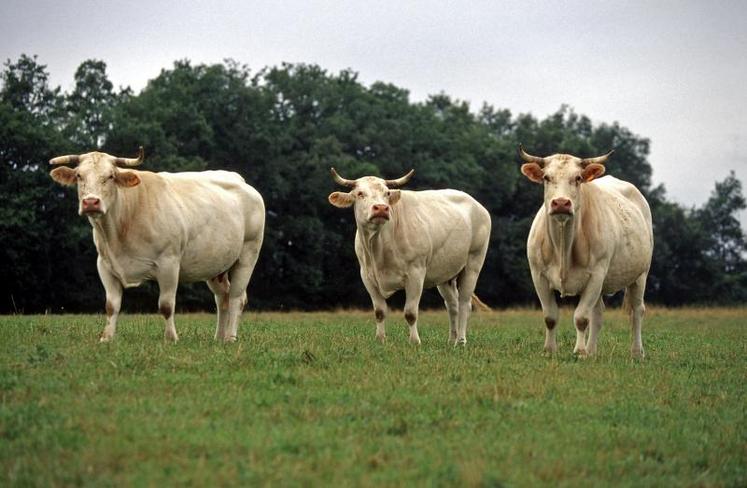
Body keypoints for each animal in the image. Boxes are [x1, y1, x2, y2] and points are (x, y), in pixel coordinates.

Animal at [49, 147, 266, 342]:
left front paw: (171, 338)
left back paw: (230, 337)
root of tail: (241, 180)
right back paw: (218, 337)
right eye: (79, 175)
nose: (91, 202)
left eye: (110, 176)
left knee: (237, 297)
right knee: (223, 298)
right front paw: (106, 338)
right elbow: (111, 305)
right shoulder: (104, 265)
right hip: (216, 265)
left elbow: (166, 305)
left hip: (248, 255)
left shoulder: (169, 263)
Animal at [328, 168, 490, 346]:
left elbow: (410, 313)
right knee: (452, 305)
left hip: (473, 263)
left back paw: (460, 341)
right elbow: (379, 311)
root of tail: (477, 205)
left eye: (387, 193)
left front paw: (414, 341)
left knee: (464, 304)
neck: (379, 246)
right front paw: (380, 339)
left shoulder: (416, 273)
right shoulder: (367, 276)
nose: (381, 208)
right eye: (360, 193)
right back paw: (451, 340)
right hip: (446, 274)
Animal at [520, 146, 656, 358]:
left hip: (641, 274)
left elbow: (581, 318)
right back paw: (592, 351)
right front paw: (550, 350)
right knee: (598, 313)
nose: (561, 203)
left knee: (637, 310)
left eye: (578, 178)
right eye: (546, 177)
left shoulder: (596, 275)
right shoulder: (538, 275)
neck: (563, 246)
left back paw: (636, 352)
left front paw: (580, 352)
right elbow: (550, 317)